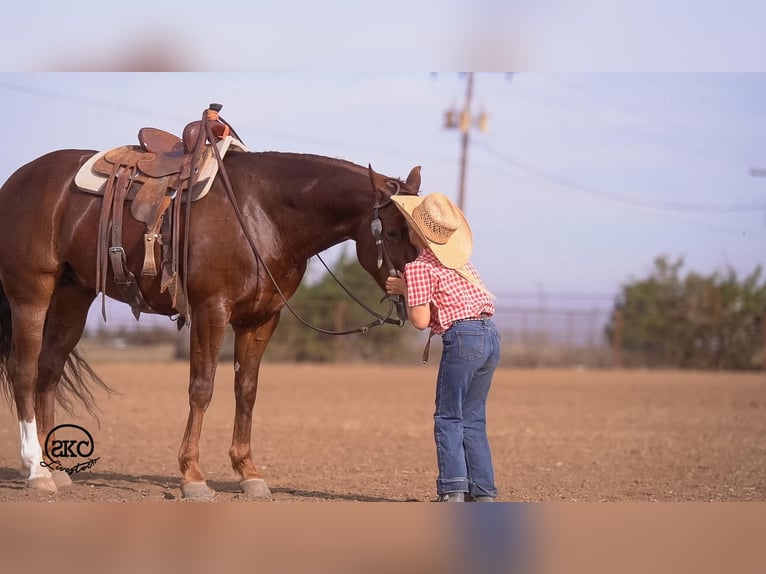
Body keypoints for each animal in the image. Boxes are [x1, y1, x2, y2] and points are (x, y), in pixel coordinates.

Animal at [0, 142, 421, 499]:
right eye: (394, 231)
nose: (412, 294)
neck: (263, 214)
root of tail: (16, 181)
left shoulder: (261, 319)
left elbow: (247, 390)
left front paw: (249, 473)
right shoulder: (210, 311)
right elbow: (201, 389)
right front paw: (192, 476)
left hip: (74, 296)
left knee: (49, 371)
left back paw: (53, 466)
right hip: (31, 296)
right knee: (24, 371)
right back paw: (35, 471)